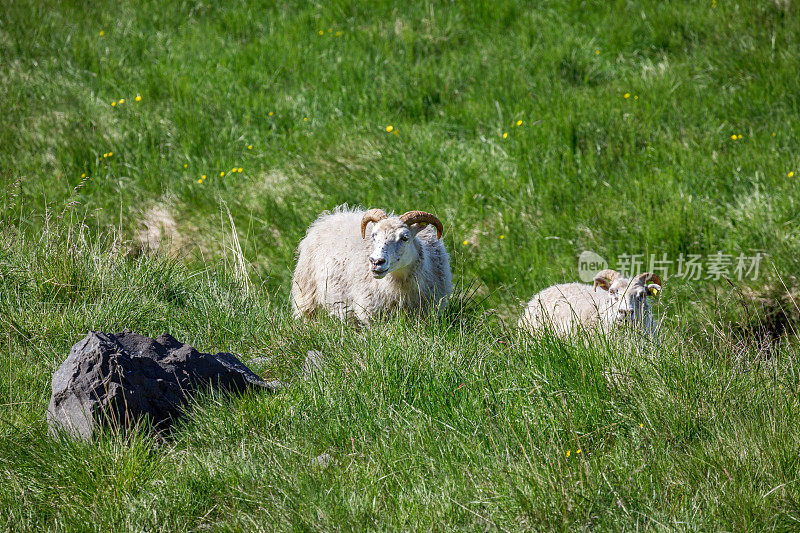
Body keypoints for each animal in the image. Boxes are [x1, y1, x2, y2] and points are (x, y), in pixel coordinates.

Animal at [290, 206, 454, 324]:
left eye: (405, 237)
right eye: (374, 236)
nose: (376, 262)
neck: (399, 285)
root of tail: (330, 216)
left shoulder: (427, 312)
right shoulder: (373, 315)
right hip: (305, 293)